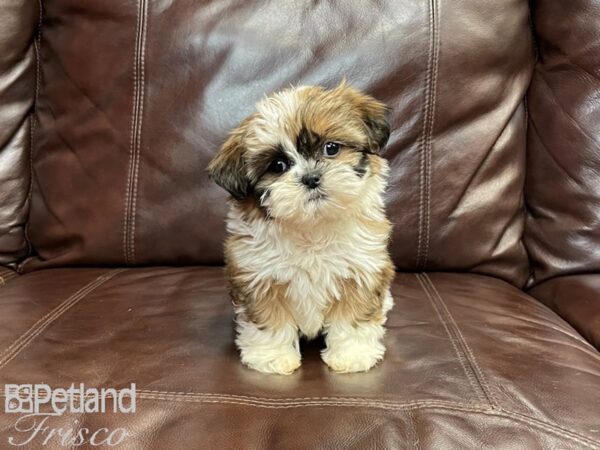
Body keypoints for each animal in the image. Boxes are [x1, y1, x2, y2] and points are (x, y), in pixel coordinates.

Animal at [209, 81, 396, 376]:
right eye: (278, 166)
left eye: (331, 148)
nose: (311, 178)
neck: (312, 226)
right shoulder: (258, 276)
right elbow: (270, 321)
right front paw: (273, 357)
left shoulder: (361, 270)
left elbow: (353, 316)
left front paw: (352, 354)